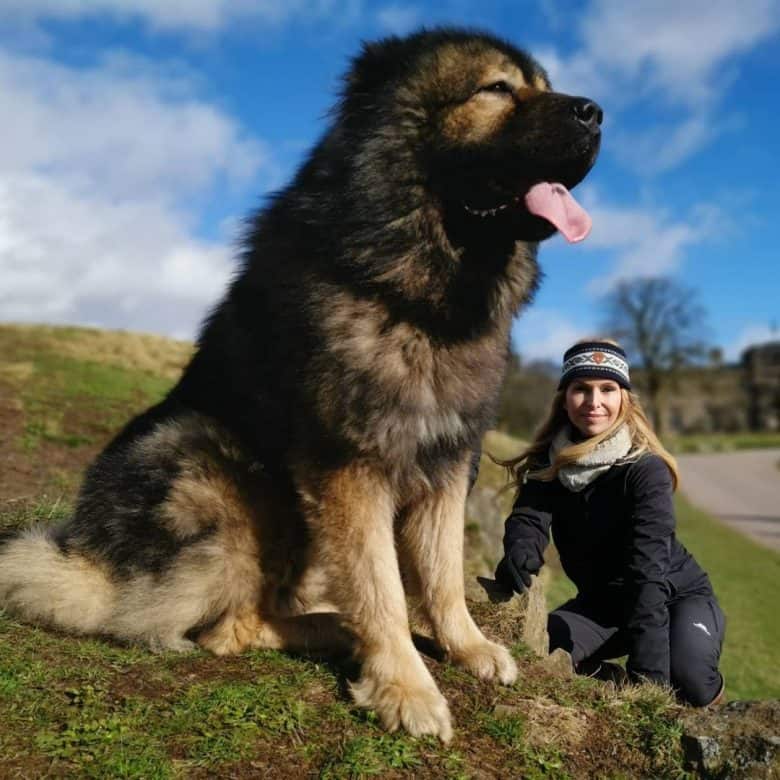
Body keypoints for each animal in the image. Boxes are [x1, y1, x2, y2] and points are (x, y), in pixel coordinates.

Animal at [0, 29, 604, 736]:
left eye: (543, 85)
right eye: (497, 89)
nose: (595, 113)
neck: (420, 302)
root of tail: (89, 563)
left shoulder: (449, 459)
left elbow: (442, 572)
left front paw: (467, 647)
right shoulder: (351, 467)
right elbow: (383, 587)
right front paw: (406, 687)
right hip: (214, 468)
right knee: (228, 628)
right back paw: (334, 632)